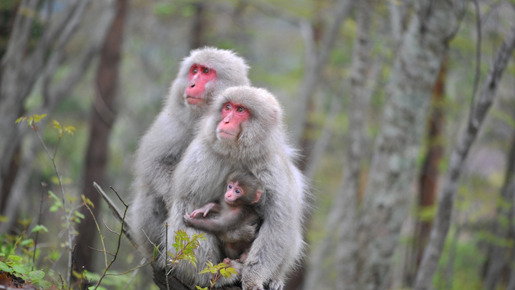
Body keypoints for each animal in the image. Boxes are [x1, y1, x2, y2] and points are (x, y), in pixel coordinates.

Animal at [128, 46, 251, 260]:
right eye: (195, 70)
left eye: (206, 71)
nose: (192, 84)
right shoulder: (174, 122)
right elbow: (156, 164)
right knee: (150, 193)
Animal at [165, 86, 308, 290]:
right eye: (227, 107)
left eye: (240, 110)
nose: (226, 120)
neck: (238, 153)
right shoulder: (200, 157)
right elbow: (188, 202)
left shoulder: (272, 170)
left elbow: (278, 223)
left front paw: (253, 278)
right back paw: (216, 275)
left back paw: (274, 278)